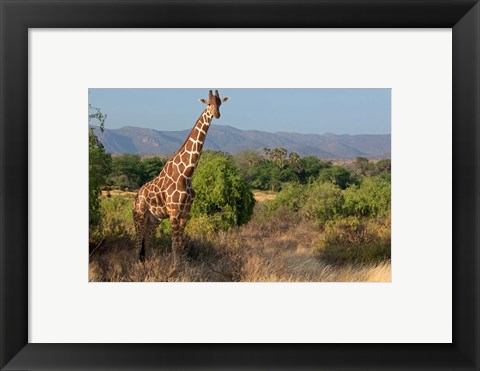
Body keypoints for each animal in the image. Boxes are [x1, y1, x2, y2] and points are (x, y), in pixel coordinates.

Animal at [131, 90, 229, 264]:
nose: (216, 114)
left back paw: (146, 264)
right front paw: (175, 268)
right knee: (137, 243)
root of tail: (137, 196)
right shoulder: (174, 212)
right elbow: (175, 246)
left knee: (146, 242)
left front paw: (182, 266)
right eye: (208, 103)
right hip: (139, 215)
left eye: (220, 103)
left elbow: (181, 246)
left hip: (153, 219)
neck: (187, 174)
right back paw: (137, 266)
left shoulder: (185, 213)